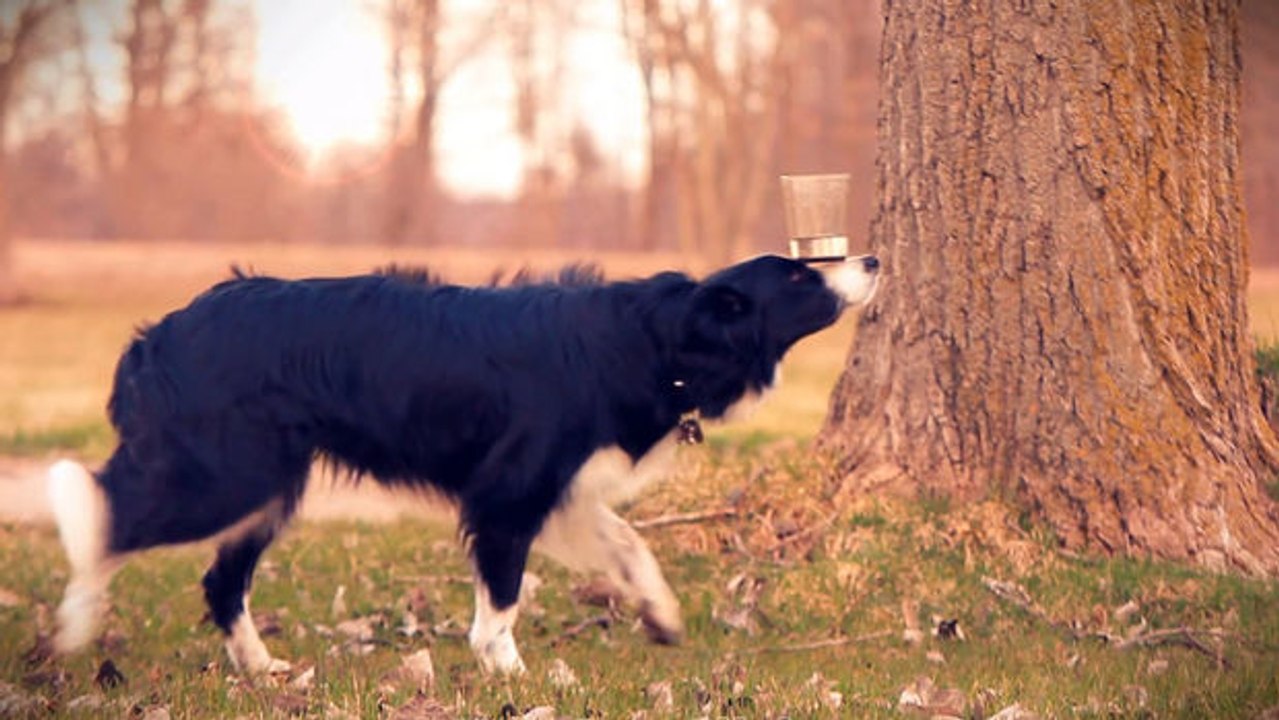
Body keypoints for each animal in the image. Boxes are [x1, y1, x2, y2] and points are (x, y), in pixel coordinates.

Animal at [47, 253, 879, 675]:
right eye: (799, 275)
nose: (871, 256)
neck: (660, 338)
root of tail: (158, 335)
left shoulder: (562, 488)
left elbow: (627, 542)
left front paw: (661, 613)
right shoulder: (509, 491)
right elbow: (504, 593)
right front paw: (505, 668)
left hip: (266, 487)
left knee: (220, 579)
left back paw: (259, 668)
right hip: (226, 474)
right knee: (105, 513)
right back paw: (74, 625)